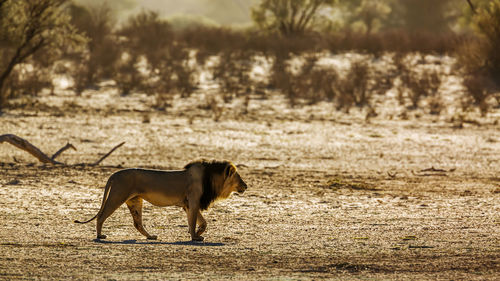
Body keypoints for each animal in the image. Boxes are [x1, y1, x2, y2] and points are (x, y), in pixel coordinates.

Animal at [73, 160, 246, 241]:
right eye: (239, 177)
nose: (246, 185)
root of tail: (114, 174)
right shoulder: (193, 201)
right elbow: (192, 221)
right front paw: (194, 237)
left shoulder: (188, 204)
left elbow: (202, 222)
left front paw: (198, 233)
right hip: (117, 196)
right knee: (101, 216)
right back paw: (100, 236)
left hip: (135, 201)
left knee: (137, 223)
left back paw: (150, 237)